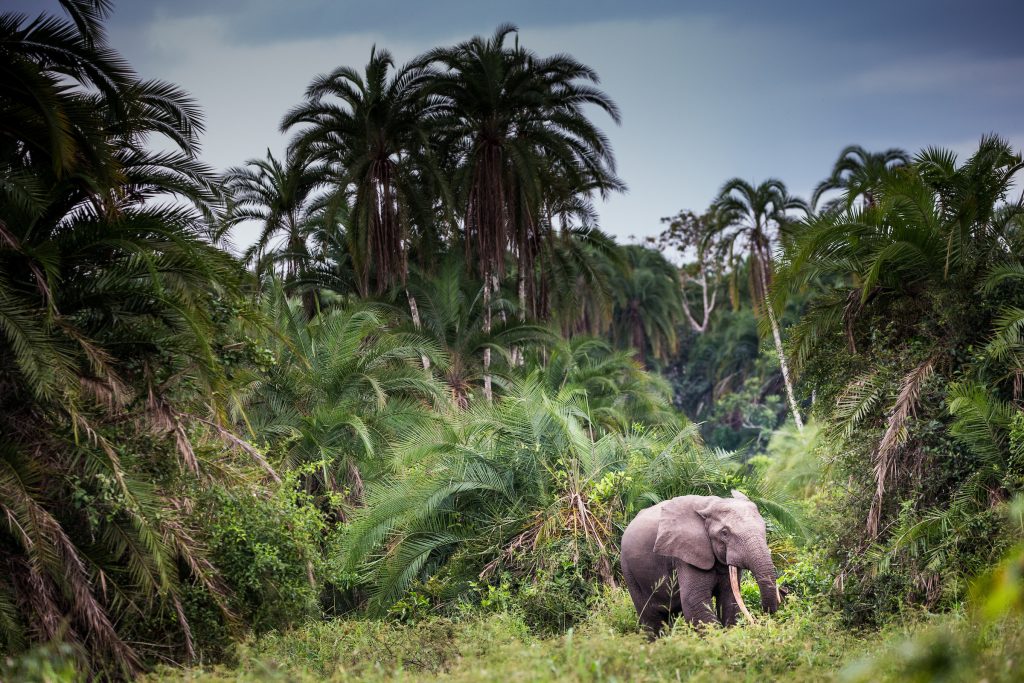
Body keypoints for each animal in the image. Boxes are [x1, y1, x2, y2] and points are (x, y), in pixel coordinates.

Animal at [620, 490, 780, 634]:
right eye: (724, 533)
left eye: (764, 528)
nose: (763, 616)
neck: (710, 505)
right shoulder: (685, 553)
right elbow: (694, 601)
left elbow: (729, 599)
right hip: (628, 570)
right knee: (650, 617)